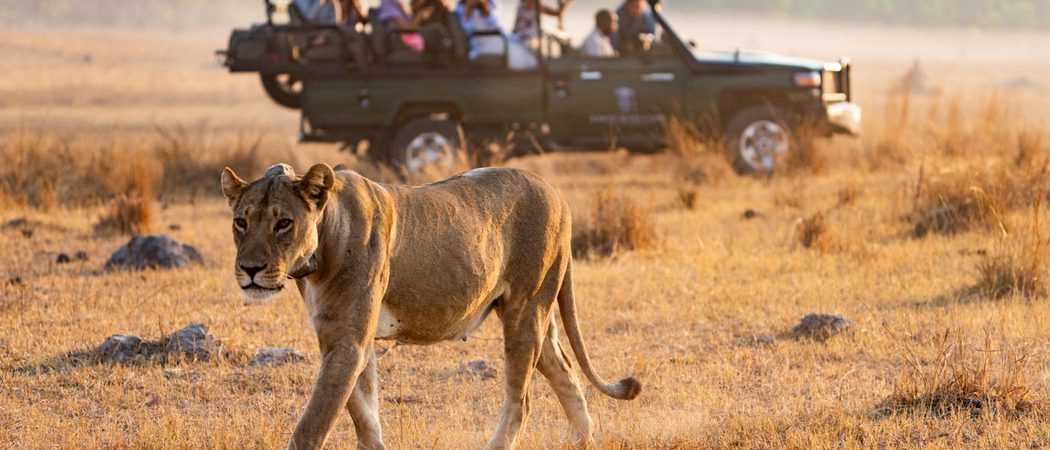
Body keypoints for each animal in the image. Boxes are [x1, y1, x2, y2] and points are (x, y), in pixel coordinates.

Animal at [220, 163, 641, 450]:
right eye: (241, 222)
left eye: (283, 224)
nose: (250, 269)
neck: (319, 251)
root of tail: (557, 193)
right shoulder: (341, 338)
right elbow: (364, 413)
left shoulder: (348, 342)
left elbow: (312, 424)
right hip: (536, 313)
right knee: (565, 370)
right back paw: (582, 440)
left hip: (526, 311)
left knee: (521, 401)